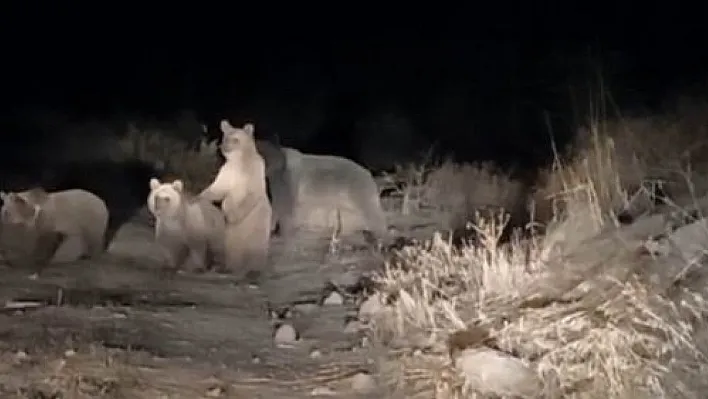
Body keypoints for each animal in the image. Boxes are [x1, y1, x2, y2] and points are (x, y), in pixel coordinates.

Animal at [198, 120, 272, 280]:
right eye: (225, 137)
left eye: (236, 139)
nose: (224, 147)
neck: (238, 161)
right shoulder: (227, 171)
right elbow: (217, 188)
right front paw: (201, 196)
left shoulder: (253, 172)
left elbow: (250, 194)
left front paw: (233, 215)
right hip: (230, 235)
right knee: (231, 249)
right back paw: (227, 268)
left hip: (258, 225)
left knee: (256, 248)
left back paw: (253, 271)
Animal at [254, 140, 388, 241]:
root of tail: (370, 177)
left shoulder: (284, 180)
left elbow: (282, 206)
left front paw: (280, 233)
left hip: (358, 189)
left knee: (371, 213)